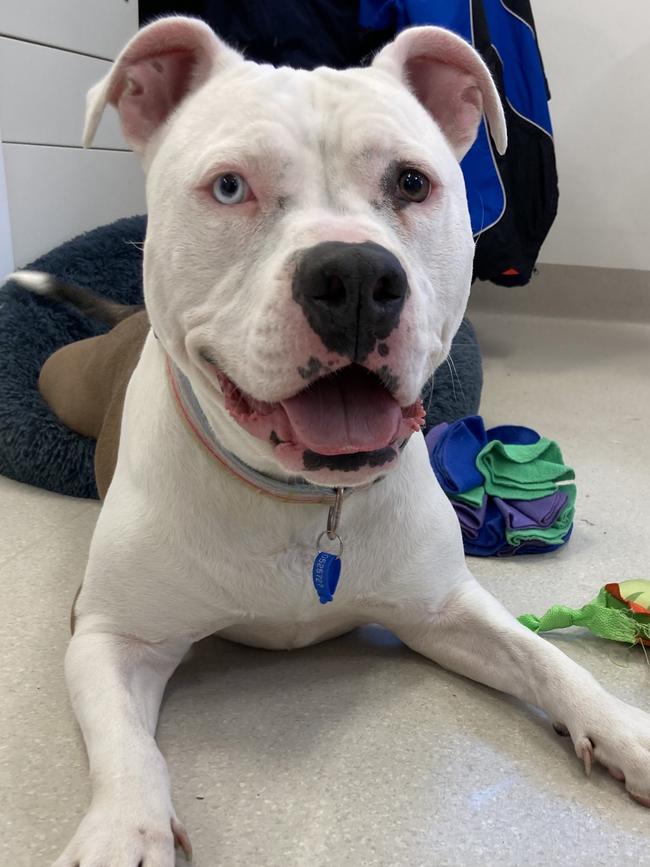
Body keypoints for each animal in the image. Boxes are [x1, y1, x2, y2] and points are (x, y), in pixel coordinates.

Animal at [30, 13, 648, 867]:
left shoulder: (443, 609)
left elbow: (548, 659)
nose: (354, 276)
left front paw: (623, 729)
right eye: (231, 186)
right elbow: (128, 748)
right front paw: (126, 830)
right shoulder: (109, 634)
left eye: (412, 183)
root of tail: (123, 320)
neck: (305, 498)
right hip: (63, 377)